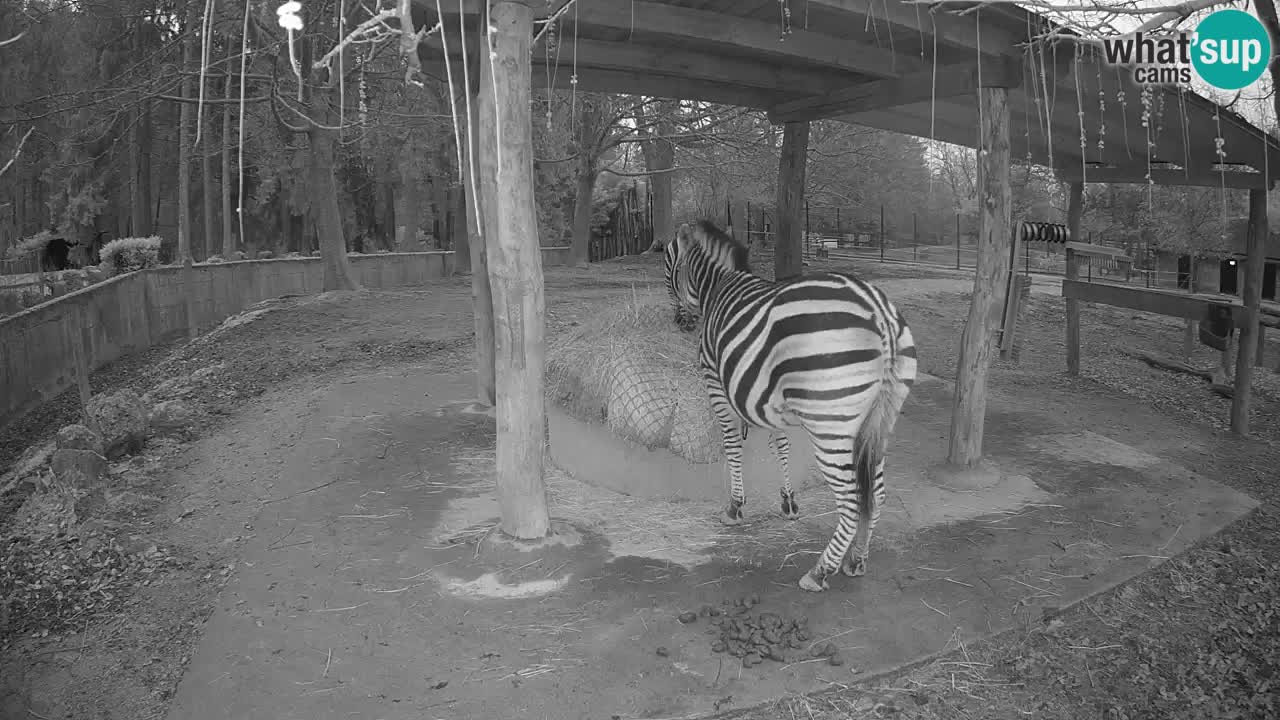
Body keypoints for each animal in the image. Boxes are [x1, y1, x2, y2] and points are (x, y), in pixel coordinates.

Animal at [660, 219, 921, 589]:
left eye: (669, 265)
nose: (681, 323)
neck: (717, 287)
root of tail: (879, 311)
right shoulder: (767, 397)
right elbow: (780, 444)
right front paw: (788, 501)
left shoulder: (716, 384)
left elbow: (732, 446)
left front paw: (735, 507)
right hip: (879, 421)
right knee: (877, 491)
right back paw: (856, 559)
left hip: (831, 424)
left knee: (852, 498)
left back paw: (820, 570)